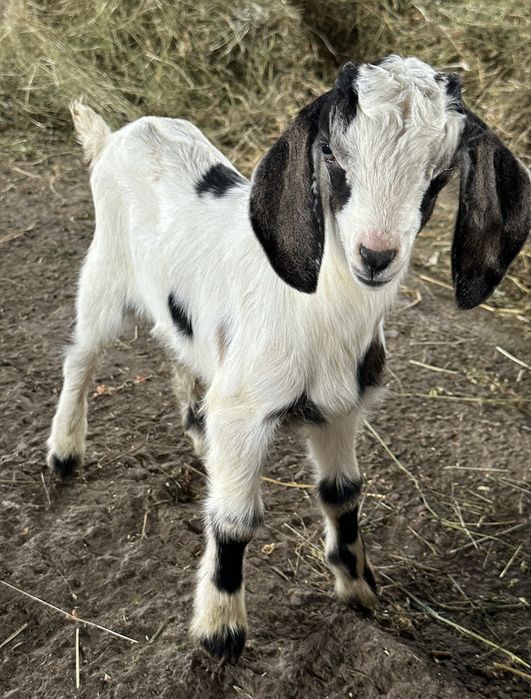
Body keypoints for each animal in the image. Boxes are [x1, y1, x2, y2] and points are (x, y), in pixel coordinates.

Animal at [47, 56, 530, 663]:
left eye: (439, 175)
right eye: (333, 158)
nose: (375, 256)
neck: (320, 312)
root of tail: (117, 136)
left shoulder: (340, 408)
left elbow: (342, 494)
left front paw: (359, 588)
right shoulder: (246, 408)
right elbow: (234, 521)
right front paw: (220, 630)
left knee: (180, 352)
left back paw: (198, 436)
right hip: (104, 277)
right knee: (80, 358)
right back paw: (65, 452)